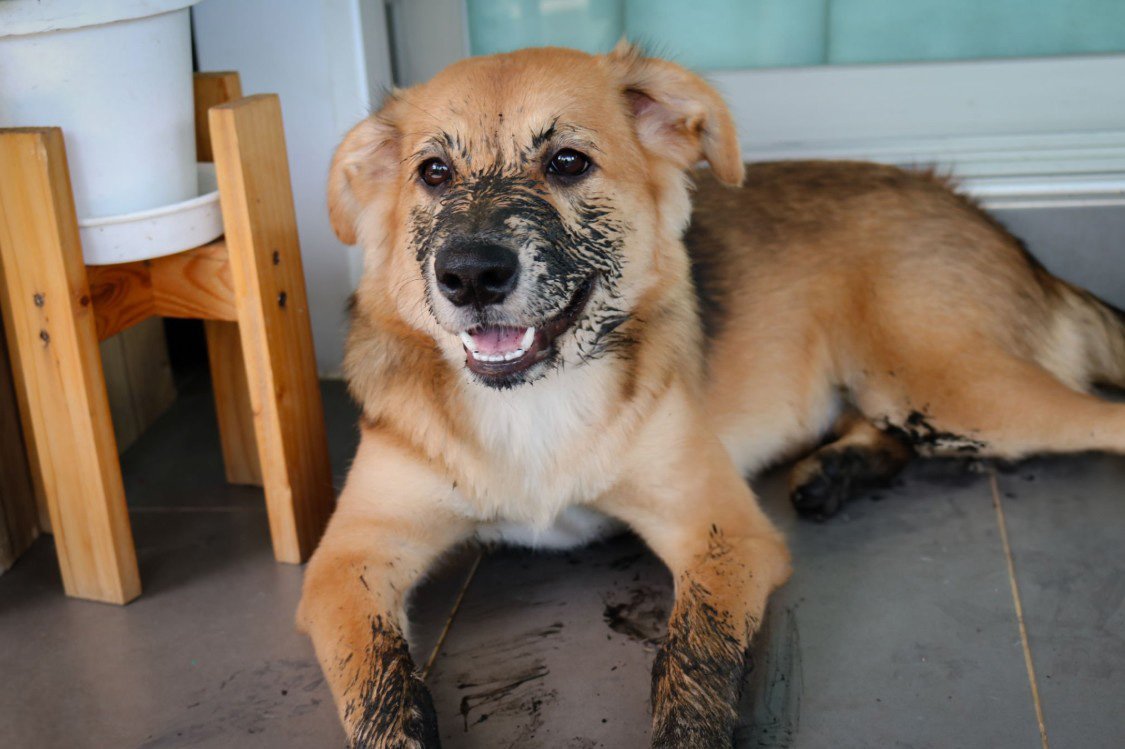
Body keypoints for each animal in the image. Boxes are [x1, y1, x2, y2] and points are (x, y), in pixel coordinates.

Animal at [299, 45, 1125, 746]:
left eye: (567, 162)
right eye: (433, 172)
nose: (470, 274)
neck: (532, 404)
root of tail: (979, 213)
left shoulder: (718, 530)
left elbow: (694, 656)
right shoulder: (347, 560)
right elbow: (376, 680)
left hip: (952, 384)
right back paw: (839, 469)